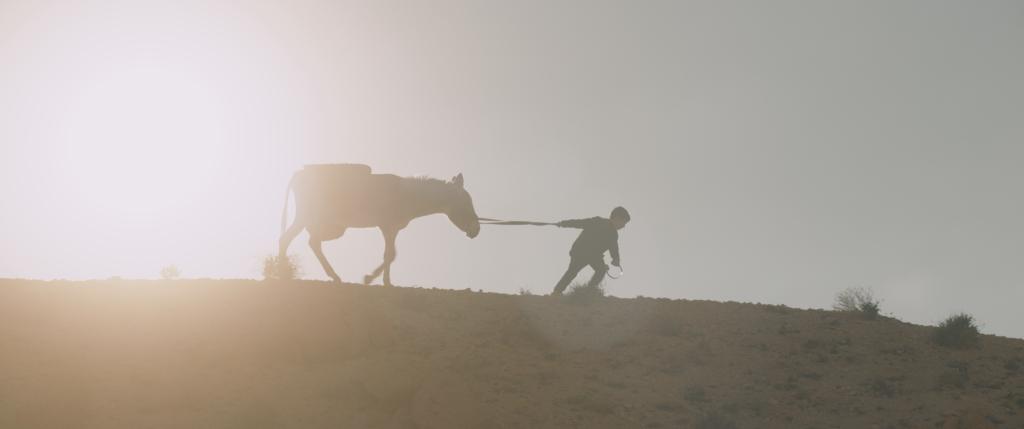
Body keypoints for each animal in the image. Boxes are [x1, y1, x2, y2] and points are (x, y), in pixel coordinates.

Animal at [274, 163, 477, 284]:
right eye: (467, 202)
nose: (477, 229)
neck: (408, 195)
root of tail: (300, 172)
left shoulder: (392, 229)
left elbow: (390, 254)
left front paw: (383, 281)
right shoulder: (387, 227)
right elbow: (390, 255)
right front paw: (374, 279)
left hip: (331, 226)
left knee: (312, 241)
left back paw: (333, 276)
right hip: (308, 217)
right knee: (287, 238)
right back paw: (283, 274)